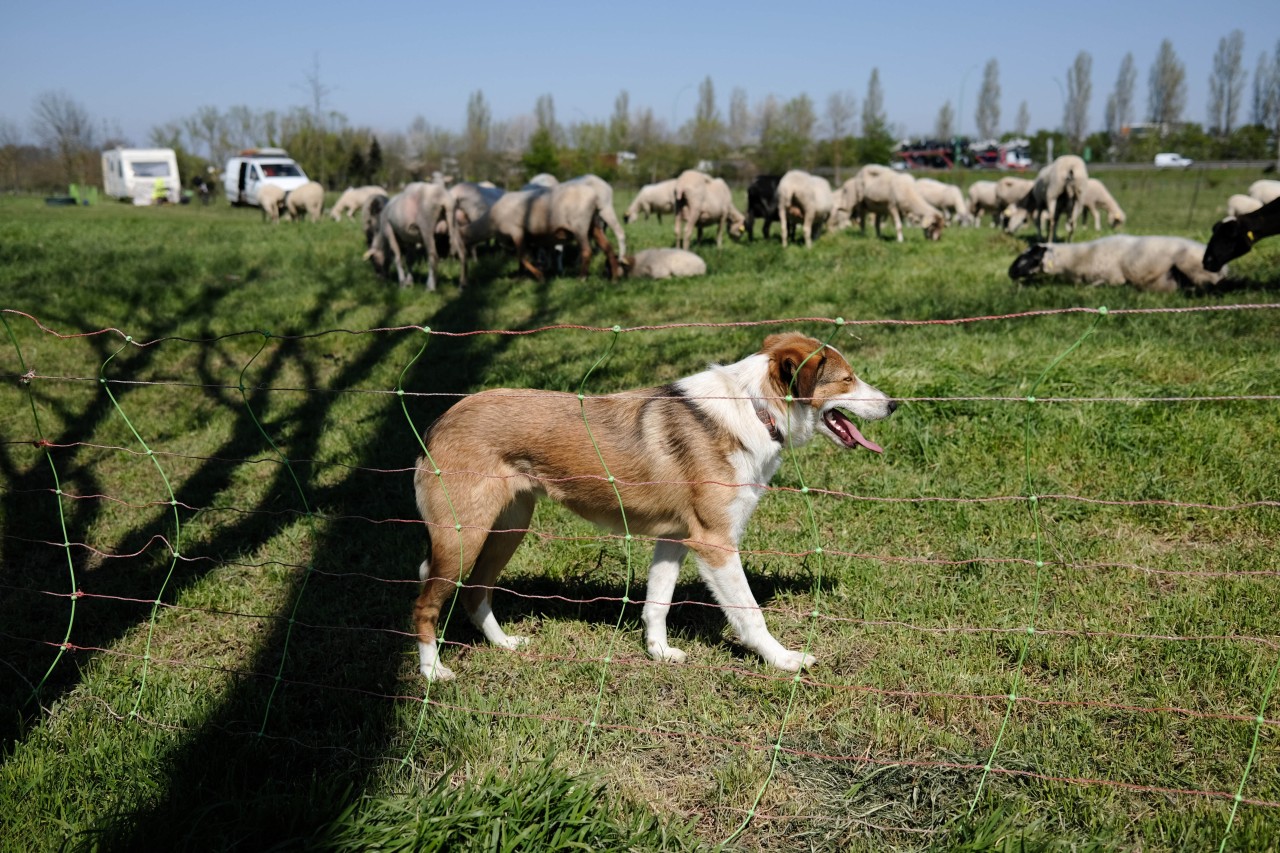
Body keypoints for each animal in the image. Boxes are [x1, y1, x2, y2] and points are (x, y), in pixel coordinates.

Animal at [414, 330, 896, 676]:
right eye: (847, 379)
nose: (893, 404)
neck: (755, 408)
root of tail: (439, 421)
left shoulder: (677, 538)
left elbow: (656, 603)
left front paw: (658, 652)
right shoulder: (716, 543)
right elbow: (749, 613)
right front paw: (783, 660)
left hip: (507, 529)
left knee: (476, 591)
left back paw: (505, 645)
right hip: (463, 538)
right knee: (427, 603)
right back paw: (433, 672)